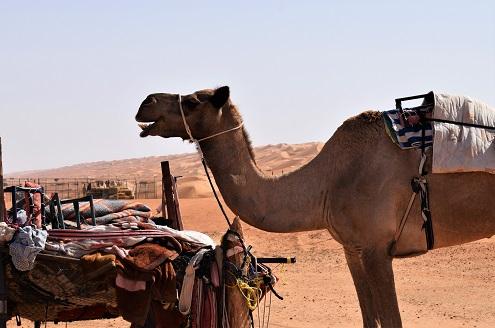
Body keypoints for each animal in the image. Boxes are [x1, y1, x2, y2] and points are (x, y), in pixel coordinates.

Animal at [135, 86, 495, 328]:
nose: (145, 102)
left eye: (193, 100)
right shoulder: (354, 250)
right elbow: (370, 319)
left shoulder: (377, 248)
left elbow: (391, 321)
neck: (327, 182)